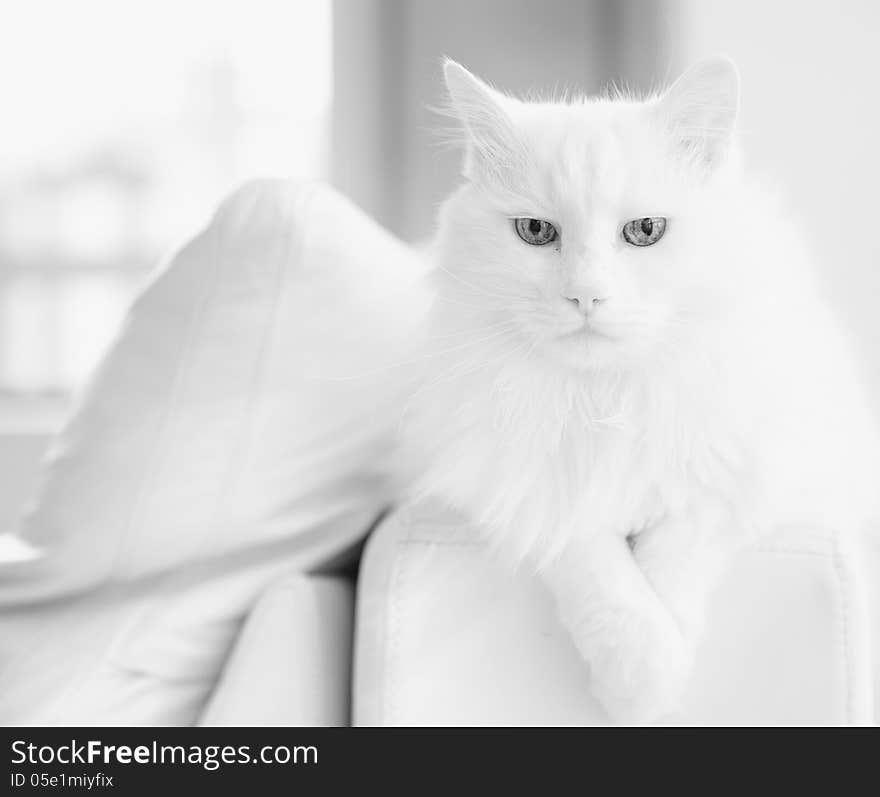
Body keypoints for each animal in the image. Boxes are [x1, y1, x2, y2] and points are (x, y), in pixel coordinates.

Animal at [402, 59, 880, 724]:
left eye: (645, 231)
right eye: (535, 231)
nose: (586, 296)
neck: (607, 396)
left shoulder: (741, 474)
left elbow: (673, 552)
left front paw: (662, 680)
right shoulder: (528, 486)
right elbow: (603, 578)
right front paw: (638, 683)